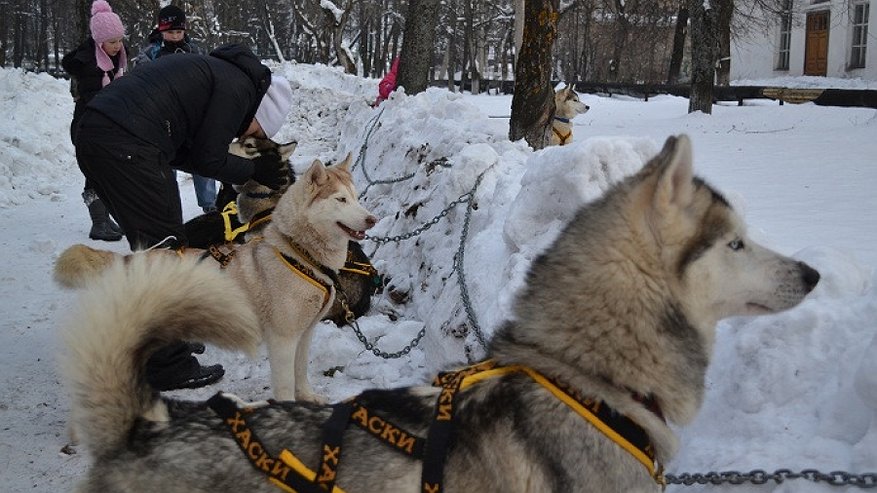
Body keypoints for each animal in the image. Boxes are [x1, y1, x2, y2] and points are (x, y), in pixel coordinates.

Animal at [54, 156, 376, 402]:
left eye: (356, 197)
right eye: (341, 199)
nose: (371, 219)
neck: (300, 254)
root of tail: (133, 259)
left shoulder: (305, 333)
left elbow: (301, 373)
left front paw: (308, 398)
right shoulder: (282, 340)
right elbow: (285, 385)